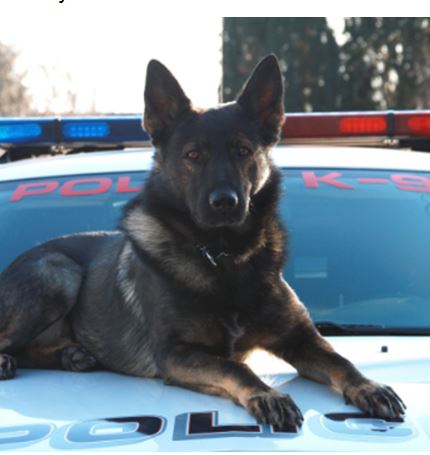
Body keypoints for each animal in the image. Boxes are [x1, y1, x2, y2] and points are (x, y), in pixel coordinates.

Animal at [0, 55, 404, 430]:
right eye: (193, 155)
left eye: (243, 150)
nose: (225, 202)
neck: (225, 256)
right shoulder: (176, 354)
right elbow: (236, 369)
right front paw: (267, 395)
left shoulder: (299, 338)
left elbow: (341, 361)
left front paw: (370, 387)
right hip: (58, 273)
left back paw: (72, 356)